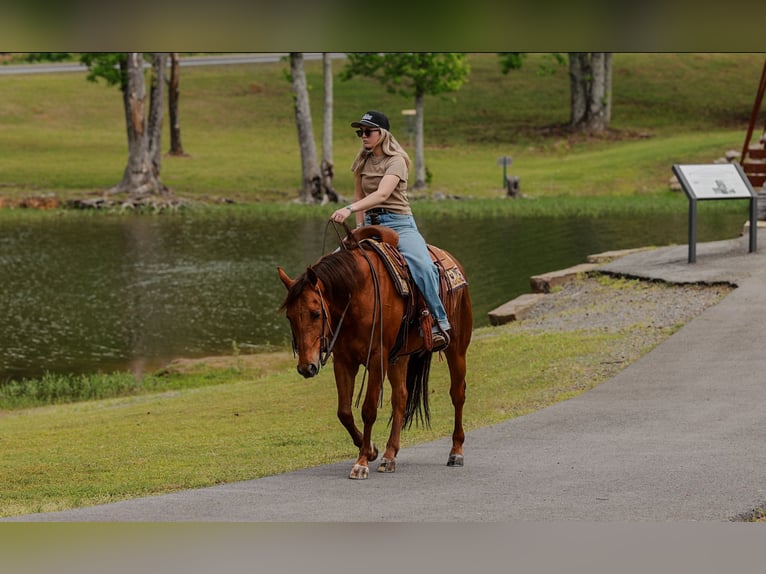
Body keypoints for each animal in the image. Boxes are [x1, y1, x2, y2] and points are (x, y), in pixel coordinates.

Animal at [277, 225, 472, 479]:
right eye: (290, 316)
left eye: (315, 313)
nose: (305, 367)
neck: (357, 294)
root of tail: (454, 263)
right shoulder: (344, 361)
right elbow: (344, 412)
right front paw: (370, 450)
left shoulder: (377, 358)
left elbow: (368, 409)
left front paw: (361, 463)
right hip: (399, 357)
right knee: (401, 397)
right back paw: (389, 456)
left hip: (456, 348)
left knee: (457, 394)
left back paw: (456, 452)